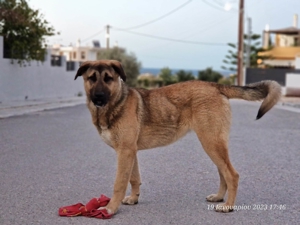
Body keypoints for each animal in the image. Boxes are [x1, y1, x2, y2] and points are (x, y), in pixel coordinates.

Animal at [74, 59, 282, 214]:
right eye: (91, 78)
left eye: (108, 79)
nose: (98, 98)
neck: (115, 104)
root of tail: (215, 86)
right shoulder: (130, 152)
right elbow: (134, 178)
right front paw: (133, 199)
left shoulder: (125, 152)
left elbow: (119, 183)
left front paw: (110, 208)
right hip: (214, 144)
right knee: (223, 173)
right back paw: (219, 197)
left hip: (211, 143)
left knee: (232, 174)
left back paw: (228, 206)